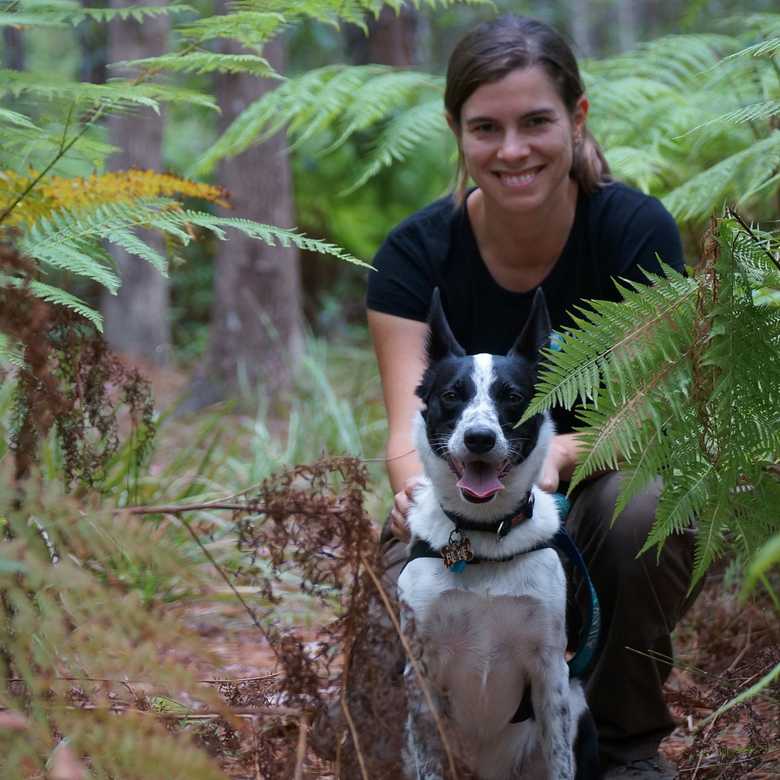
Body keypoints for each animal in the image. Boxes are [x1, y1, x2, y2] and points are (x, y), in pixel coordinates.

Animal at [400, 290, 600, 780]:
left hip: (578, 706)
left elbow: (560, 761)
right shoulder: (421, 674)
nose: (479, 438)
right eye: (452, 395)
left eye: (512, 397)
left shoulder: (551, 671)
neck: (485, 534)